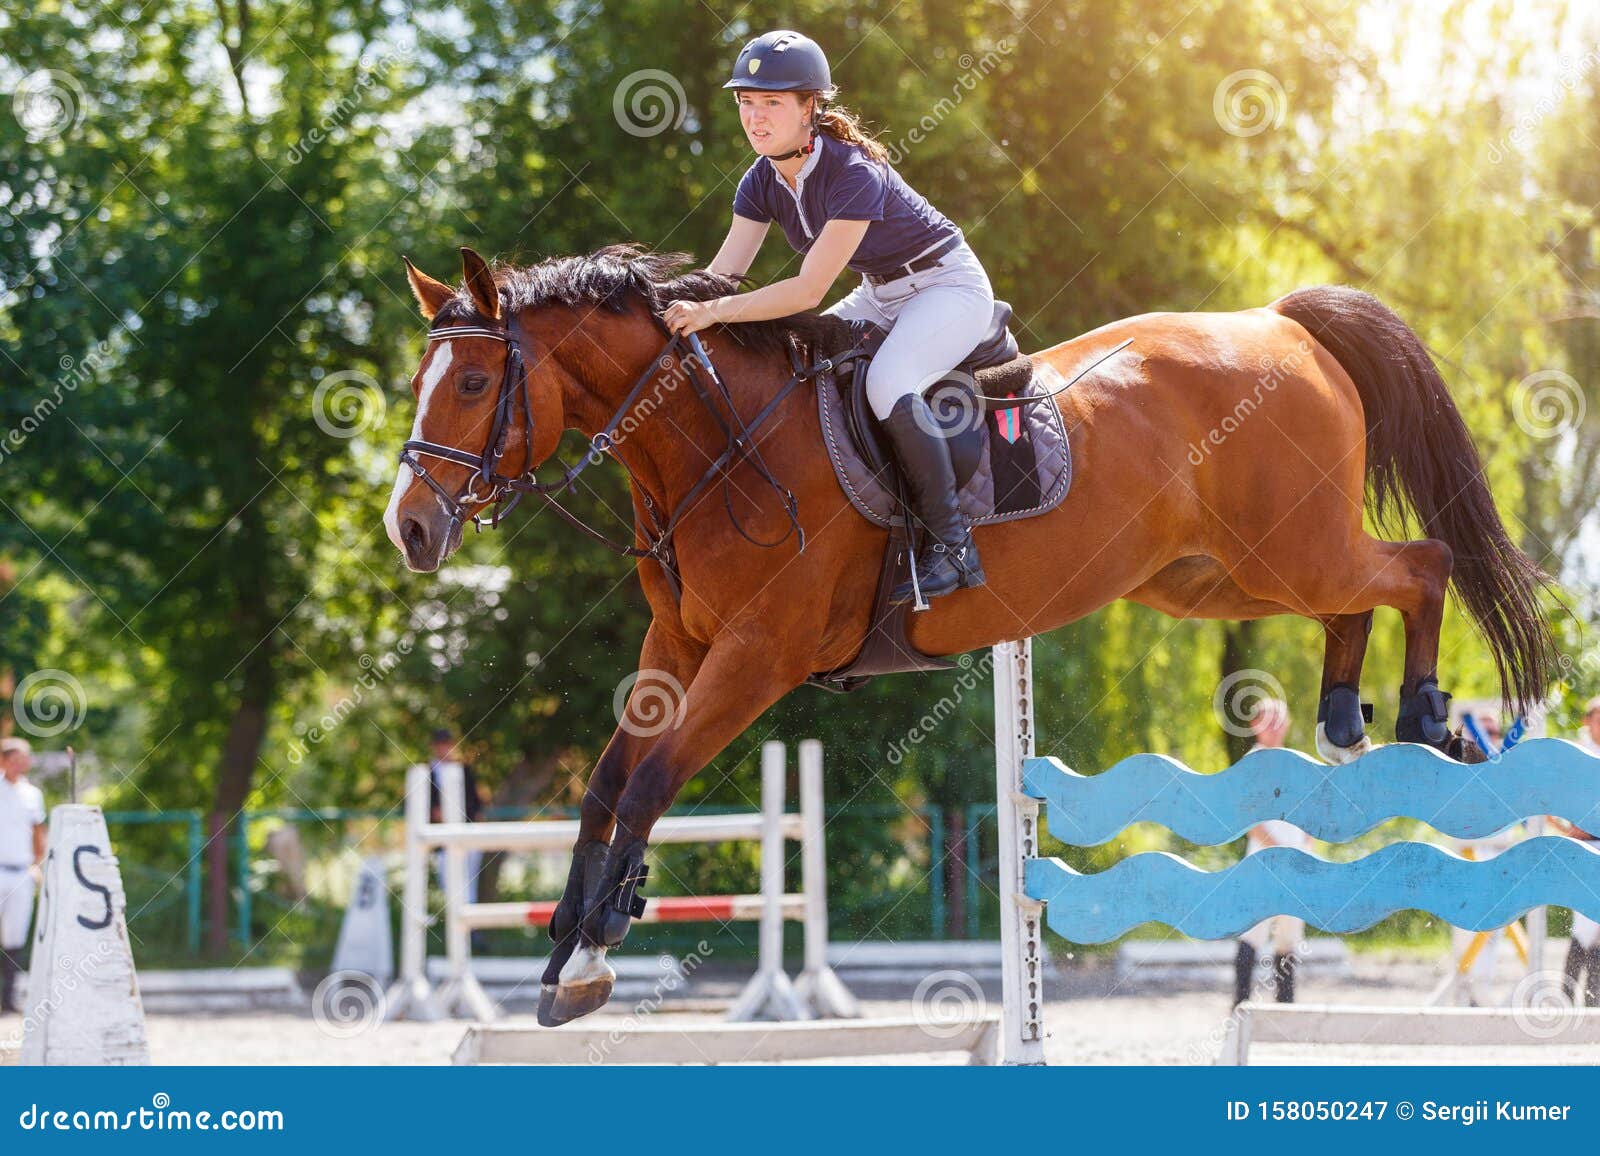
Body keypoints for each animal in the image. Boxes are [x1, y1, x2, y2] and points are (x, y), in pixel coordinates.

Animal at [380, 240, 1555, 1018]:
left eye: (476, 379)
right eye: (421, 380)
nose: (410, 529)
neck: (715, 444)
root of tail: (1281, 323)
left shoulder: (761, 656)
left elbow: (656, 778)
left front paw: (595, 944)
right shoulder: (677, 649)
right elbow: (608, 783)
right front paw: (571, 940)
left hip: (1285, 548)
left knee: (1420, 565)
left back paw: (1420, 714)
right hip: (1215, 578)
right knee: (1358, 597)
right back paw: (1345, 719)